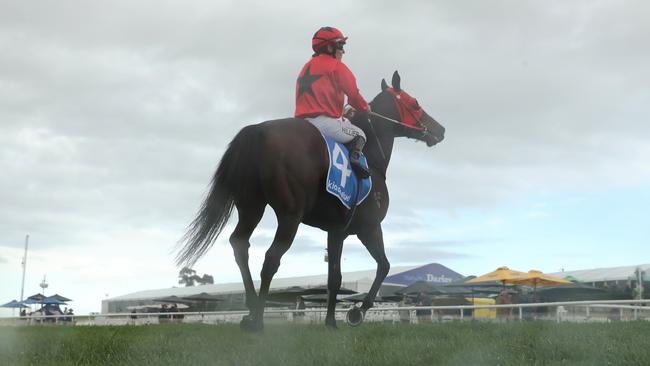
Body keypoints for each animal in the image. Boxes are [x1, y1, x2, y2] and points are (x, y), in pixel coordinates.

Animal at [175, 70, 442, 330]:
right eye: (415, 103)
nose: (440, 129)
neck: (371, 159)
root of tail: (259, 130)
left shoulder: (336, 231)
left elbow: (335, 277)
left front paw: (331, 321)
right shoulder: (369, 227)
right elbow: (382, 266)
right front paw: (358, 311)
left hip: (252, 208)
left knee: (240, 245)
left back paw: (250, 310)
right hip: (290, 215)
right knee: (271, 259)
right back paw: (258, 319)